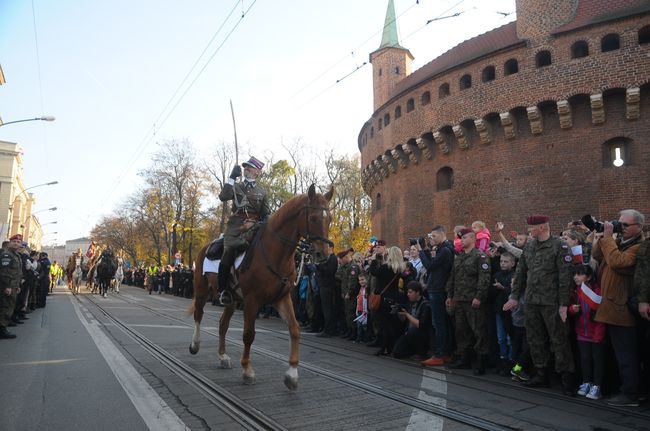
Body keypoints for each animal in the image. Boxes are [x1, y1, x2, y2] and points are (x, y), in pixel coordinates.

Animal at [185, 186, 332, 392]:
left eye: (330, 219)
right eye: (313, 218)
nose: (323, 254)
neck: (275, 252)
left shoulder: (282, 298)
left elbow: (294, 329)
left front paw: (292, 374)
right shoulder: (252, 301)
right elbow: (249, 334)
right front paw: (247, 371)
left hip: (232, 299)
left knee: (222, 324)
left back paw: (223, 357)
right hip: (201, 290)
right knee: (199, 315)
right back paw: (195, 345)